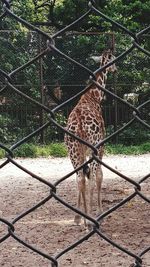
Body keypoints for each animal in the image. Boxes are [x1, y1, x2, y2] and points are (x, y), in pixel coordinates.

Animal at [63, 50, 116, 228]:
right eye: (114, 60)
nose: (115, 69)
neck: (94, 96)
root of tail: (79, 122)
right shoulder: (100, 146)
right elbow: (99, 175)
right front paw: (99, 212)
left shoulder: (84, 150)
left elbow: (83, 178)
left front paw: (78, 217)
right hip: (93, 144)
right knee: (92, 176)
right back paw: (92, 218)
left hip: (72, 150)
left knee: (80, 178)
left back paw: (83, 219)